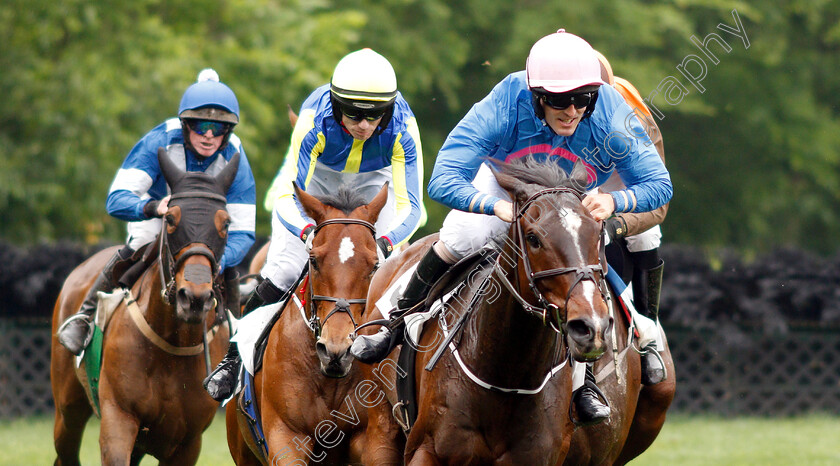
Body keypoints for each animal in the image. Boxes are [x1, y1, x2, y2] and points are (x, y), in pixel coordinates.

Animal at [50, 147, 238, 464]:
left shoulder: (188, 442)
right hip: (68, 409)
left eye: (225, 223)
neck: (172, 343)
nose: (194, 298)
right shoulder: (119, 419)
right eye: (171, 218)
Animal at [360, 159, 612, 462]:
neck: (508, 374)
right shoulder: (425, 449)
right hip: (381, 428)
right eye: (533, 238)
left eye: (598, 233)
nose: (590, 326)